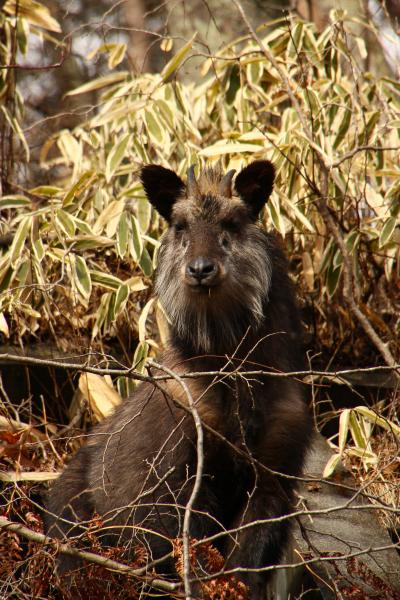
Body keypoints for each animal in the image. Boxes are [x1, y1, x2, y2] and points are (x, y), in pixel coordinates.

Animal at [45, 161, 310, 600]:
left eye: (233, 222)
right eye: (180, 225)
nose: (201, 269)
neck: (238, 376)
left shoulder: (275, 476)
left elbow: (244, 562)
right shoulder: (173, 477)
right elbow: (187, 555)